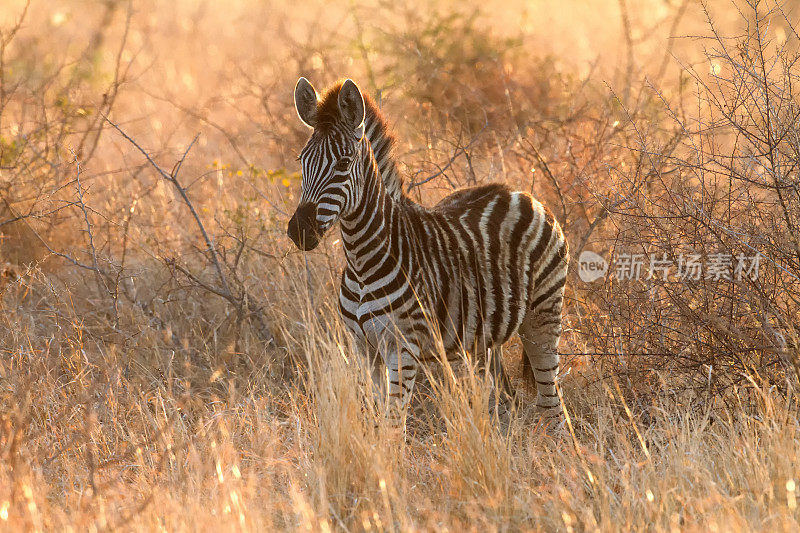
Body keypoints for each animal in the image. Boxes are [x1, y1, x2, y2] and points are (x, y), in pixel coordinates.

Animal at [288, 77, 568, 424]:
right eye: (301, 161)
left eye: (343, 163)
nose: (299, 231)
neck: (362, 262)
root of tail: (522, 193)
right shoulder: (364, 349)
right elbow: (378, 420)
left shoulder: (403, 350)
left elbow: (393, 425)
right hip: (483, 339)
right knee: (505, 399)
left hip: (543, 314)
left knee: (552, 406)